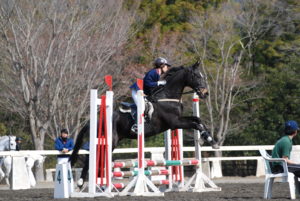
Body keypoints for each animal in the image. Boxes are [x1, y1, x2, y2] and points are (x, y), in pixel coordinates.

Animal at [69, 61, 218, 187]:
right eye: (196, 76)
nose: (205, 93)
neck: (167, 96)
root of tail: (96, 120)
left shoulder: (178, 120)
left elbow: (198, 120)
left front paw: (210, 140)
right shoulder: (175, 123)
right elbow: (195, 124)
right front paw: (206, 140)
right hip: (108, 140)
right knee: (90, 157)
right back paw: (81, 182)